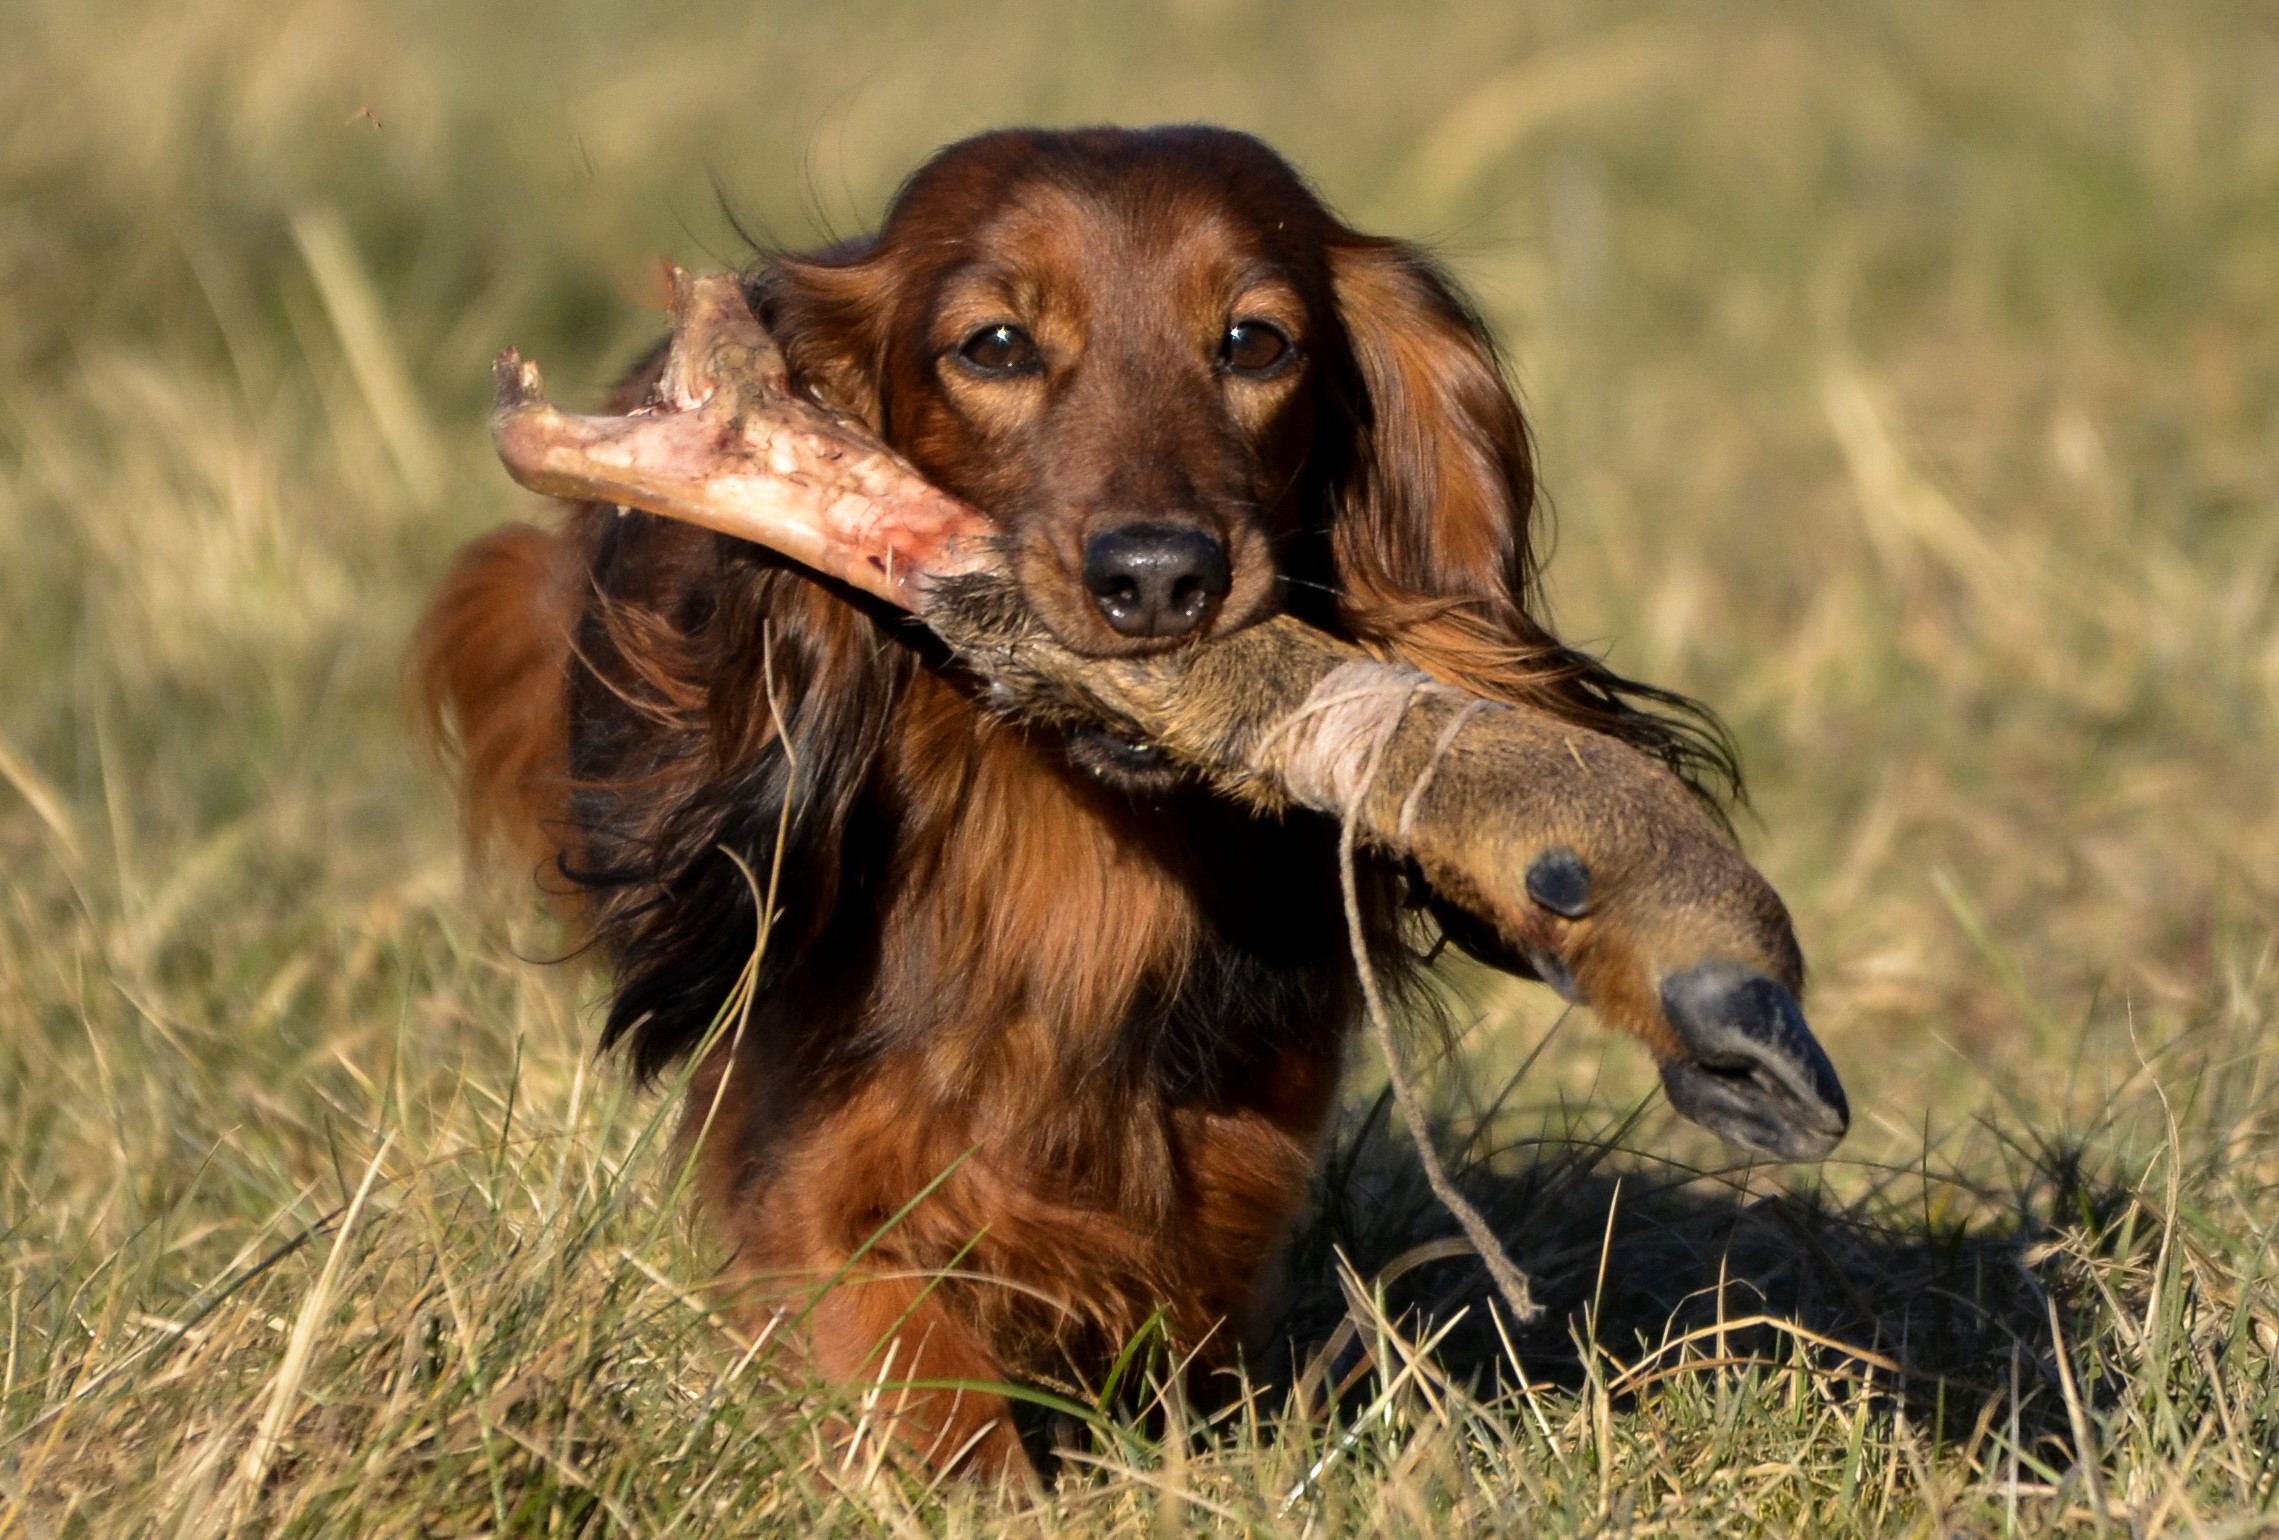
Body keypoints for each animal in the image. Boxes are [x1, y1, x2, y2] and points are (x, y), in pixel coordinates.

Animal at [414, 126, 1722, 1476]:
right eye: (994, 344)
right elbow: (927, 1393)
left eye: (1255, 342)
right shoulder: (815, 1181)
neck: (1073, 879)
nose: (1157, 578)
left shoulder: (1228, 1184)